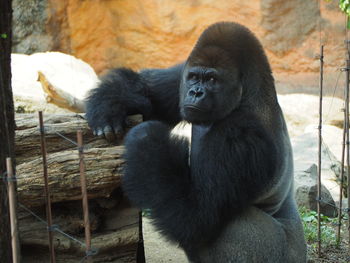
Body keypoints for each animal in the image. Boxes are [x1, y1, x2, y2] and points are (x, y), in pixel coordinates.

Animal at [86, 21, 308, 262]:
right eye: (194, 77)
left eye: (212, 80)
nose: (196, 93)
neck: (249, 95)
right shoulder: (182, 76)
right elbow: (147, 91)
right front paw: (110, 109)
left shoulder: (242, 135)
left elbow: (196, 215)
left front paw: (146, 138)